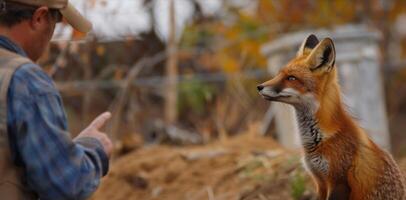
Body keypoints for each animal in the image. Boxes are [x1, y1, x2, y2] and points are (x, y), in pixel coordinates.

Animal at [258, 35, 404, 199]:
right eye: (279, 74)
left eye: (291, 78)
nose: (259, 87)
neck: (320, 138)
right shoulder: (319, 182)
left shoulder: (339, 182)